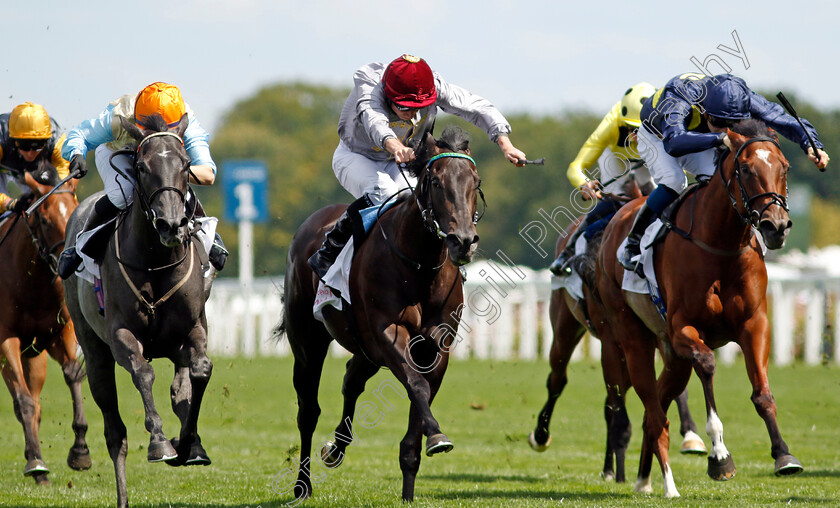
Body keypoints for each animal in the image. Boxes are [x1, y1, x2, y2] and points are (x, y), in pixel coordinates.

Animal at [0, 168, 90, 484]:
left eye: (74, 212)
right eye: (44, 220)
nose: (70, 262)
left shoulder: (59, 332)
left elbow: (73, 373)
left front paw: (80, 450)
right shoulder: (6, 340)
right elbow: (23, 402)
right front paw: (36, 462)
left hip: (35, 358)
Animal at [63, 115, 213, 508]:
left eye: (186, 165)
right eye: (142, 167)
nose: (171, 225)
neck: (156, 262)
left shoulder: (193, 328)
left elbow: (200, 373)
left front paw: (188, 444)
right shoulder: (120, 335)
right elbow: (143, 373)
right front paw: (161, 442)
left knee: (181, 388)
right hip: (94, 349)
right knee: (114, 432)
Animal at [280, 125, 480, 502]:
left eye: (474, 182)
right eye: (435, 182)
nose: (463, 241)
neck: (420, 263)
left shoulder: (436, 345)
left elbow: (421, 395)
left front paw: (410, 488)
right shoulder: (389, 331)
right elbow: (416, 385)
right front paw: (437, 436)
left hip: (365, 348)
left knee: (351, 380)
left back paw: (335, 449)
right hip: (308, 342)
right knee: (307, 411)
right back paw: (302, 485)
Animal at [528, 185, 704, 482]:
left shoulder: (660, 332)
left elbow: (673, 389)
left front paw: (691, 436)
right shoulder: (614, 339)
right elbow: (618, 404)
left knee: (609, 400)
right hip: (565, 327)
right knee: (558, 379)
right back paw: (544, 436)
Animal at [596, 121, 800, 498]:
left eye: (785, 167)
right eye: (746, 169)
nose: (776, 226)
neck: (720, 244)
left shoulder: (754, 323)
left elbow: (762, 393)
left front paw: (783, 455)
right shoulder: (683, 330)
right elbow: (707, 365)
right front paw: (719, 455)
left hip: (673, 358)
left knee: (656, 409)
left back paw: (645, 478)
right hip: (633, 338)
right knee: (654, 411)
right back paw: (668, 484)